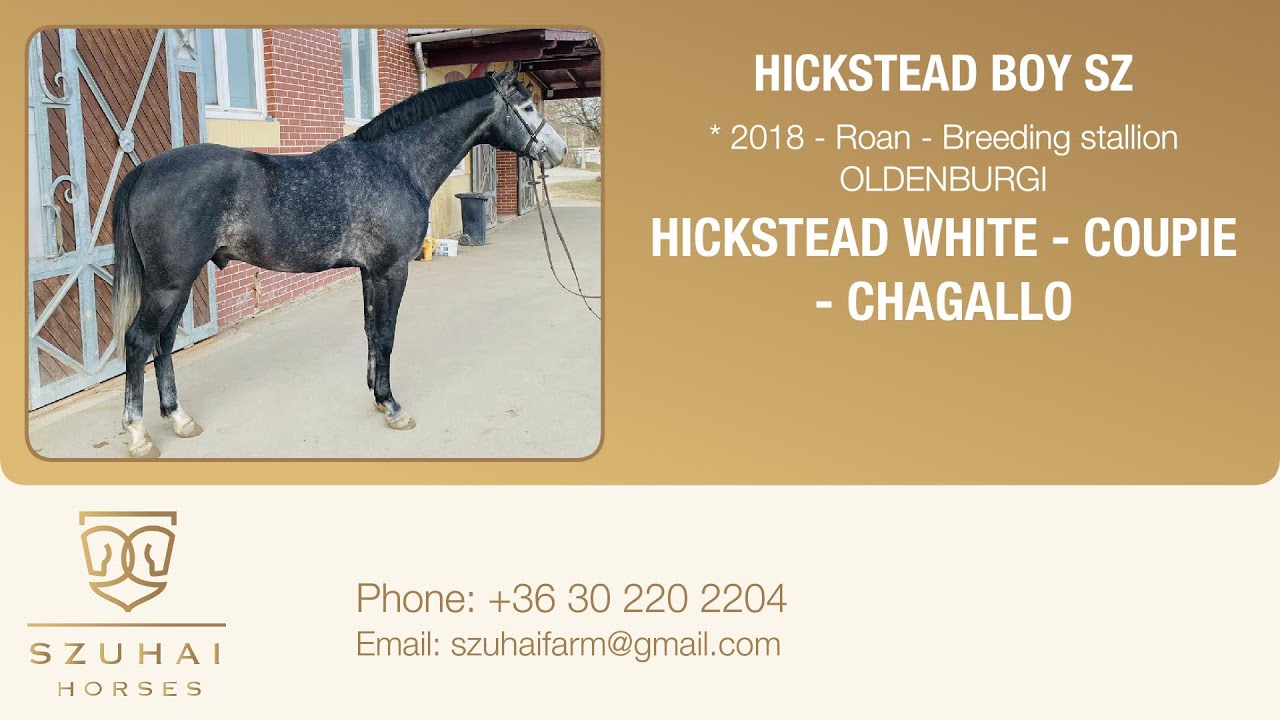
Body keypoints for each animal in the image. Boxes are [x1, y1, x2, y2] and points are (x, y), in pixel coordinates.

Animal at [109, 68, 567, 458]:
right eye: (526, 108)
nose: (559, 151)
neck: (397, 164)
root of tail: (145, 169)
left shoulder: (369, 272)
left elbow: (370, 331)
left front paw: (376, 395)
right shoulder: (392, 270)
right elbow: (386, 335)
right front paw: (392, 406)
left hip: (179, 283)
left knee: (164, 342)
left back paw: (179, 419)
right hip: (169, 284)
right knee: (138, 340)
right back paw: (138, 434)